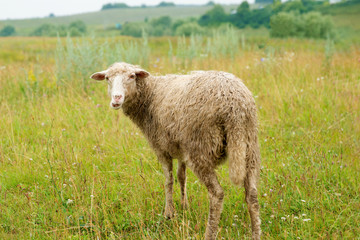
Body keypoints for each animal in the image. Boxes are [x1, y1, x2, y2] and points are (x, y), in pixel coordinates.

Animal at [89, 62, 260, 240]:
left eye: (132, 76)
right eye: (107, 78)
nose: (116, 99)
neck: (151, 95)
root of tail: (234, 106)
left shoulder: (161, 148)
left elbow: (168, 180)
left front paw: (169, 213)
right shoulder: (180, 149)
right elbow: (181, 176)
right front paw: (184, 206)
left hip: (200, 148)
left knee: (217, 193)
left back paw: (209, 233)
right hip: (249, 146)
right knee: (252, 195)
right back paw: (256, 233)